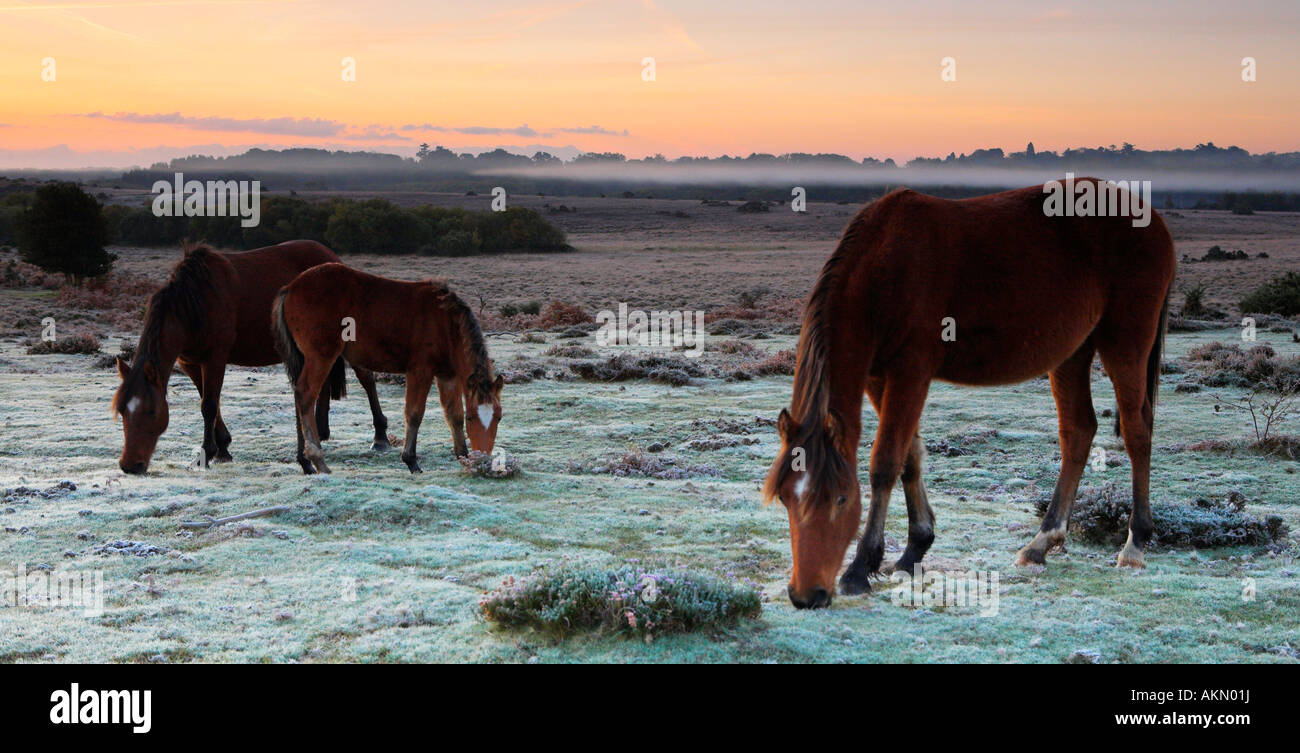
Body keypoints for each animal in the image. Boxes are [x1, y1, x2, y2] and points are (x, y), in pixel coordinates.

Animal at [112, 239, 387, 473]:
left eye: (150, 411)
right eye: (122, 411)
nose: (130, 465)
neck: (194, 304)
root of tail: (333, 259)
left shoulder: (215, 358)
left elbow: (209, 405)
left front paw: (207, 452)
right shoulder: (190, 363)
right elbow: (208, 401)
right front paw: (223, 447)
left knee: (366, 378)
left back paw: (380, 436)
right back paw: (320, 430)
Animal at [270, 262, 501, 473]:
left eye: (499, 417)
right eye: (473, 418)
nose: (483, 460)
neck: (445, 323)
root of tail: (290, 287)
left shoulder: (448, 376)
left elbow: (454, 415)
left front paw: (463, 456)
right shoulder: (420, 371)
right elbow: (414, 413)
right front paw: (411, 460)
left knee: (298, 396)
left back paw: (305, 461)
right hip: (321, 356)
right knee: (306, 395)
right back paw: (318, 460)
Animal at [759, 182, 1180, 613]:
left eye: (841, 499)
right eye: (785, 499)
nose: (805, 595)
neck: (884, 265)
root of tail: (1153, 221)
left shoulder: (911, 370)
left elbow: (885, 462)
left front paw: (860, 568)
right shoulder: (878, 376)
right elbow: (910, 457)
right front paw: (915, 549)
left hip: (1125, 344)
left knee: (1136, 430)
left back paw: (1135, 543)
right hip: (1072, 353)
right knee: (1078, 431)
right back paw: (1041, 543)